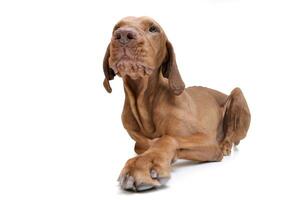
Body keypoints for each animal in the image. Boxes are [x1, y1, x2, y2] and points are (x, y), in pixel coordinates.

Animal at [103, 16, 251, 191]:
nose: (123, 35)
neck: (145, 102)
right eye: (116, 28)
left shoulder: (207, 140)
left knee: (232, 135)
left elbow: (166, 139)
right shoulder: (137, 142)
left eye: (153, 29)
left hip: (237, 94)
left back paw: (226, 145)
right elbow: (144, 143)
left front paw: (144, 164)